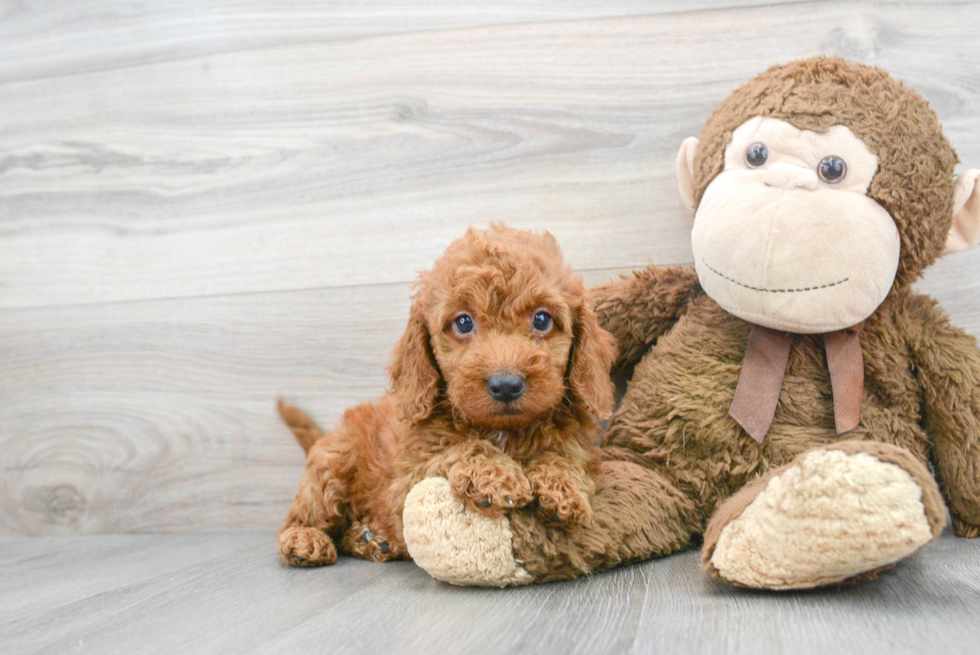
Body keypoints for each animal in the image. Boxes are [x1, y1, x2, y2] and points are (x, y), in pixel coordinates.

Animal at [278, 223, 612, 568]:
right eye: (463, 322)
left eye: (542, 319)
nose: (506, 384)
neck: (504, 432)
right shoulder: (406, 480)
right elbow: (459, 448)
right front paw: (496, 475)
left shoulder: (581, 449)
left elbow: (566, 457)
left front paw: (562, 487)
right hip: (333, 463)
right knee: (305, 513)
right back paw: (305, 539)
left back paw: (370, 539)